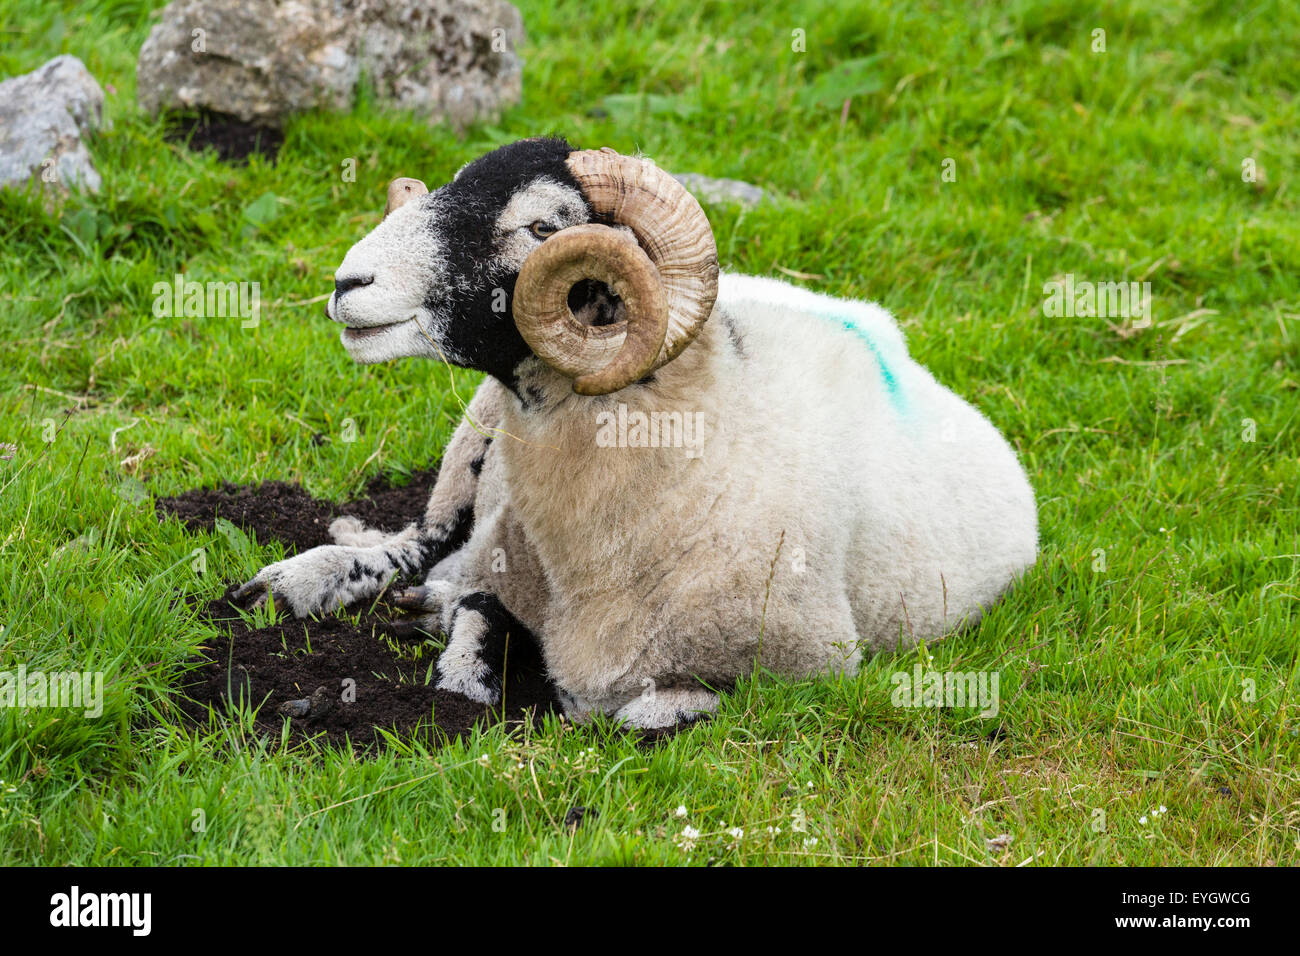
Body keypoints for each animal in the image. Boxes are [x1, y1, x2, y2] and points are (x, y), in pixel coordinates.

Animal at [231, 138, 1034, 728]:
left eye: (542, 226)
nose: (347, 284)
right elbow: (476, 629)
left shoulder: (803, 671)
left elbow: (635, 714)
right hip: (470, 444)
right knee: (417, 541)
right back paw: (301, 580)